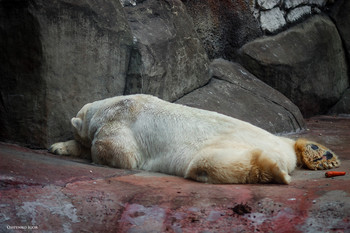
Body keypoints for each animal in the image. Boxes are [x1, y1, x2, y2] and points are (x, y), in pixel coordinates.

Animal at [48, 94, 340, 184]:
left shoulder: (119, 124)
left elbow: (117, 153)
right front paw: (57, 146)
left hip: (223, 145)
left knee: (207, 163)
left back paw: (276, 170)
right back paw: (320, 154)